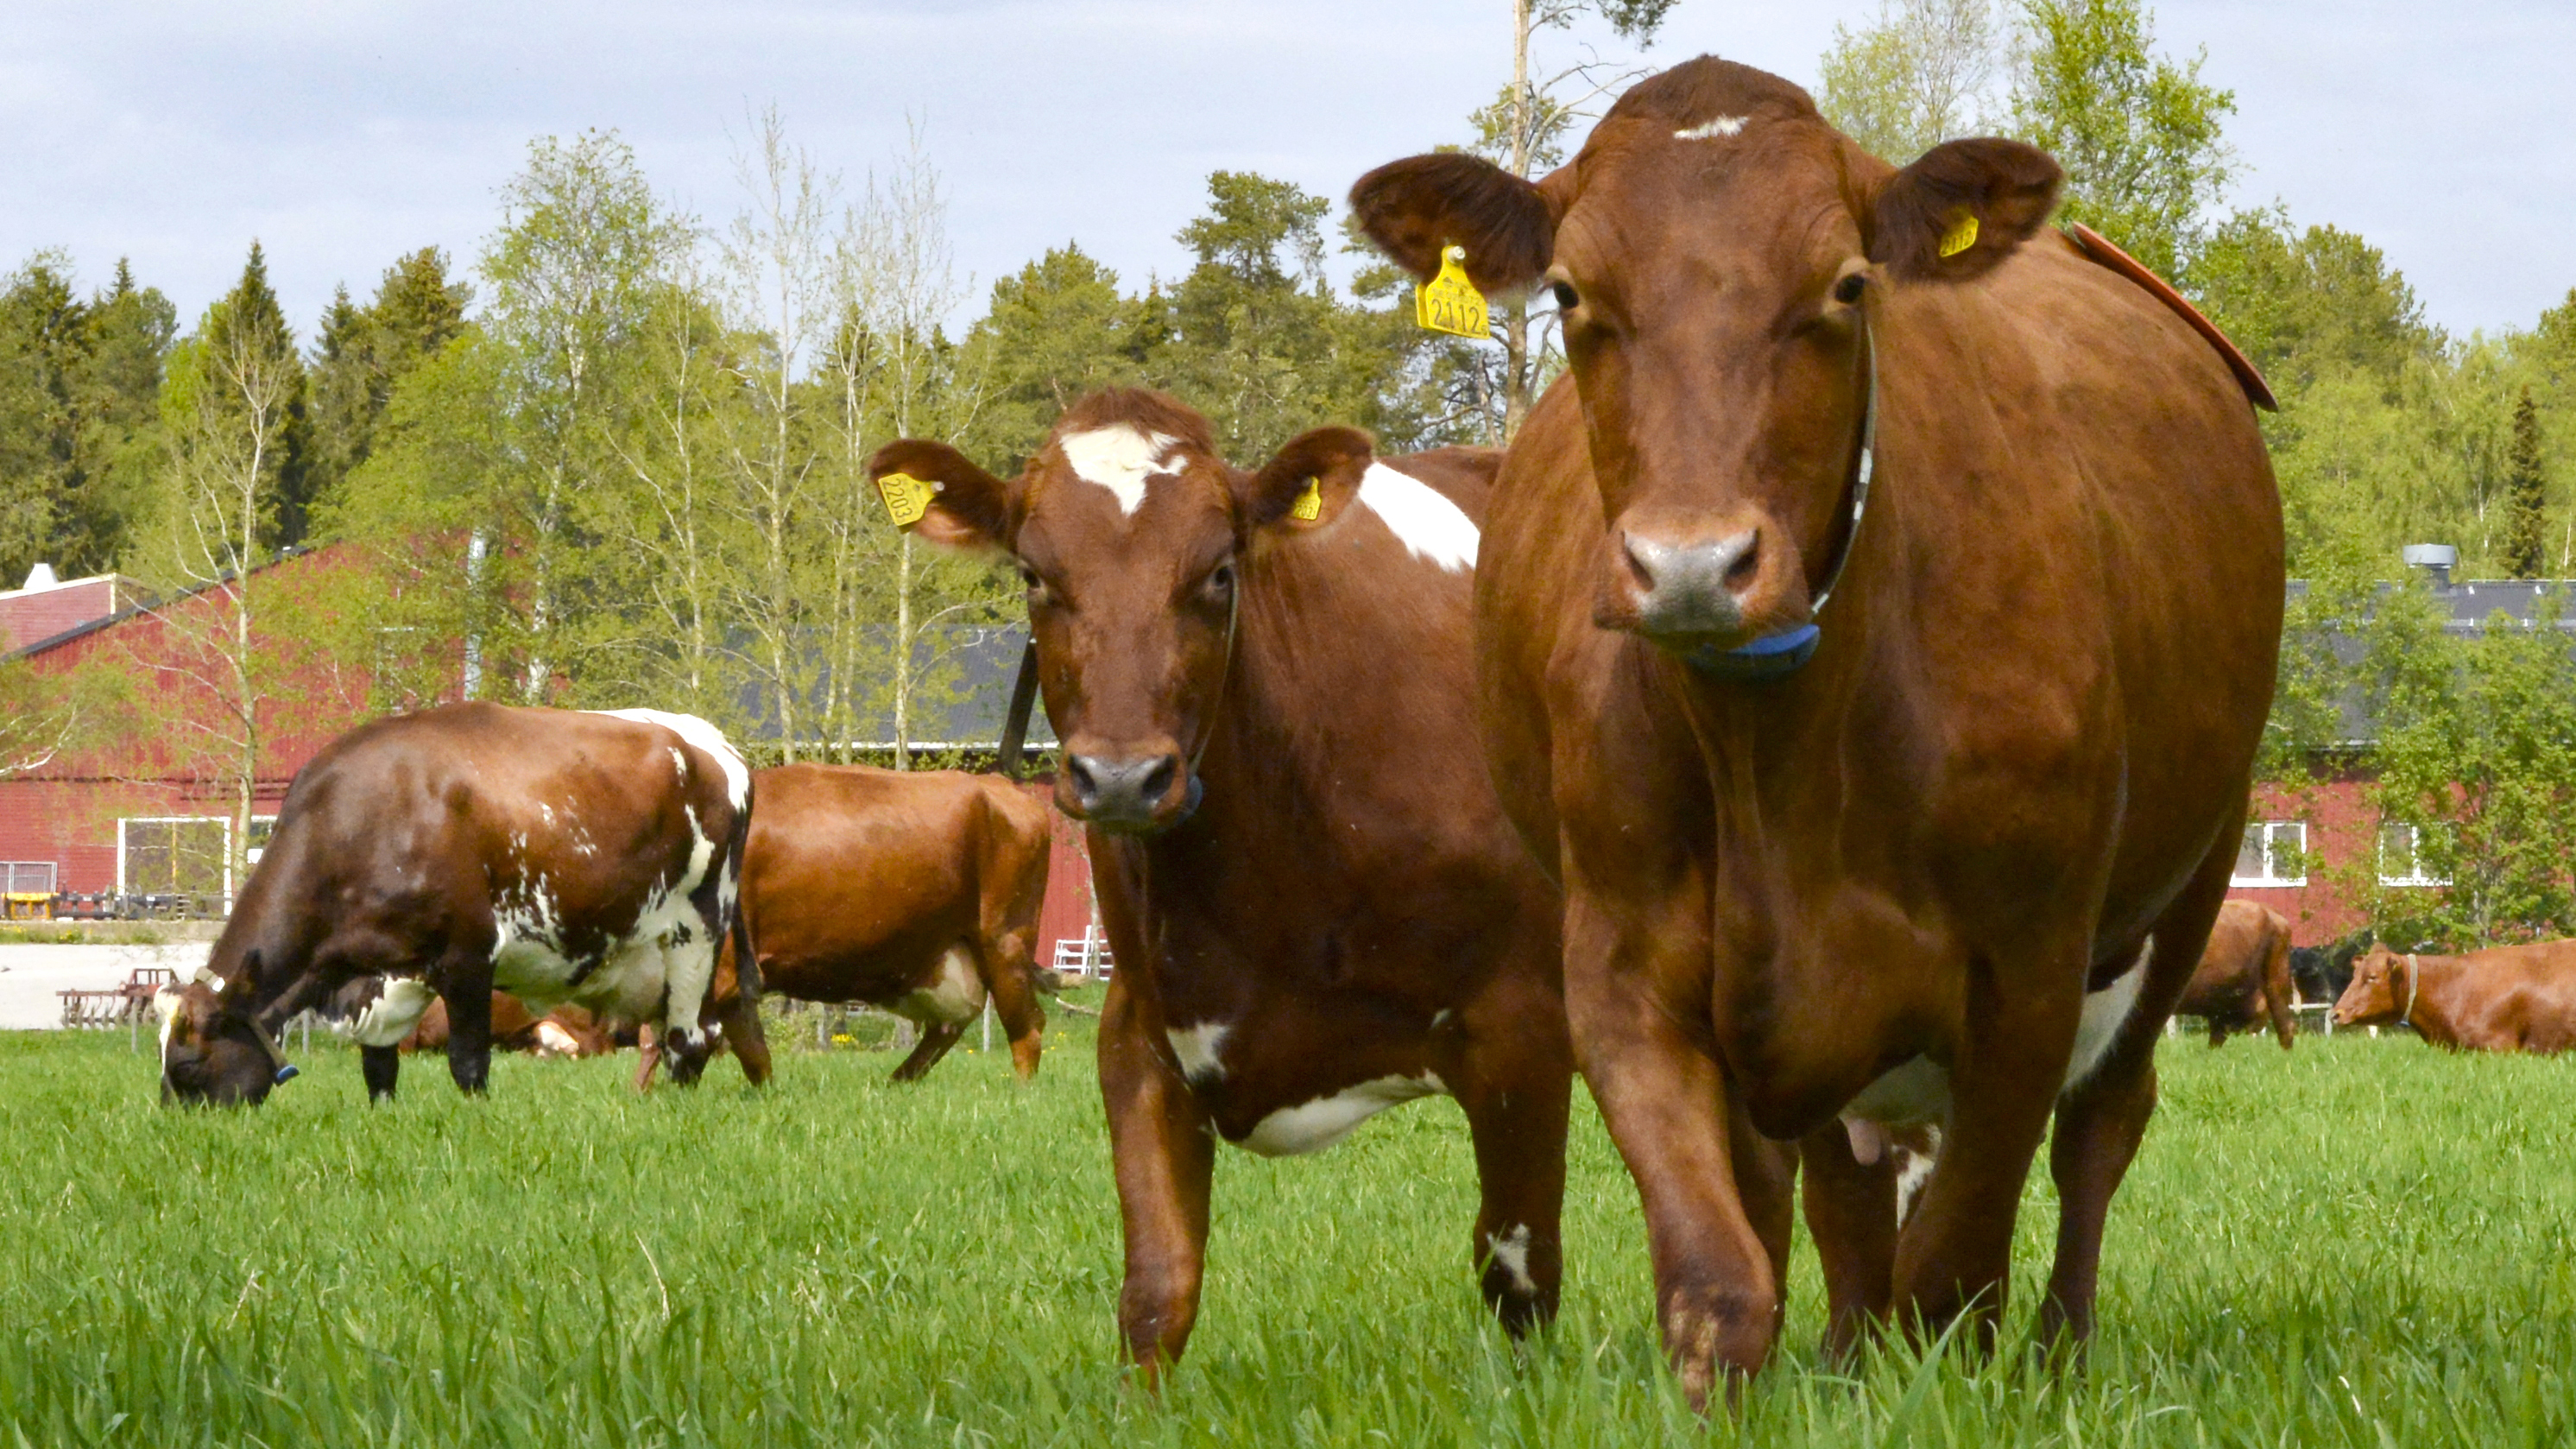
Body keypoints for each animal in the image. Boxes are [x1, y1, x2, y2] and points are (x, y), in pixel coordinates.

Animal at [156, 702, 762, 1104]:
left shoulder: (470, 955)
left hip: (695, 936)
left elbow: (469, 1063)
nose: (182, 1130)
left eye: (187, 1066)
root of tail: (717, 745)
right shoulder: (379, 976)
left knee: (690, 1038)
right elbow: (379, 1069)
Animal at [633, 762, 1055, 1088]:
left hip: (1005, 941)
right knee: (950, 1025)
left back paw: (1020, 1091)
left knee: (1026, 1026)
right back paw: (897, 1082)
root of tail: (998, 785)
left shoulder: (720, 974)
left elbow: (720, 1047)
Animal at [871, 387, 1573, 1380]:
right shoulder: (1139, 1028)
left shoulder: (1523, 1028)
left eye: (1217, 573)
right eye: (1033, 576)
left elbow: (1516, 1272)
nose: (1120, 778)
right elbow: (1157, 1288)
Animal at [1351, 56, 2282, 1398]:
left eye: (1845, 285)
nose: (1691, 564)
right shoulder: (1618, 964)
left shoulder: (2030, 964)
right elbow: (1721, 1276)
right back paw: (1846, 1351)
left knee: (2100, 1131)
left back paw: (2057, 1349)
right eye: (1572, 291)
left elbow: (1957, 1264)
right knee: (1836, 1188)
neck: (1778, 751)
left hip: (2190, 881)